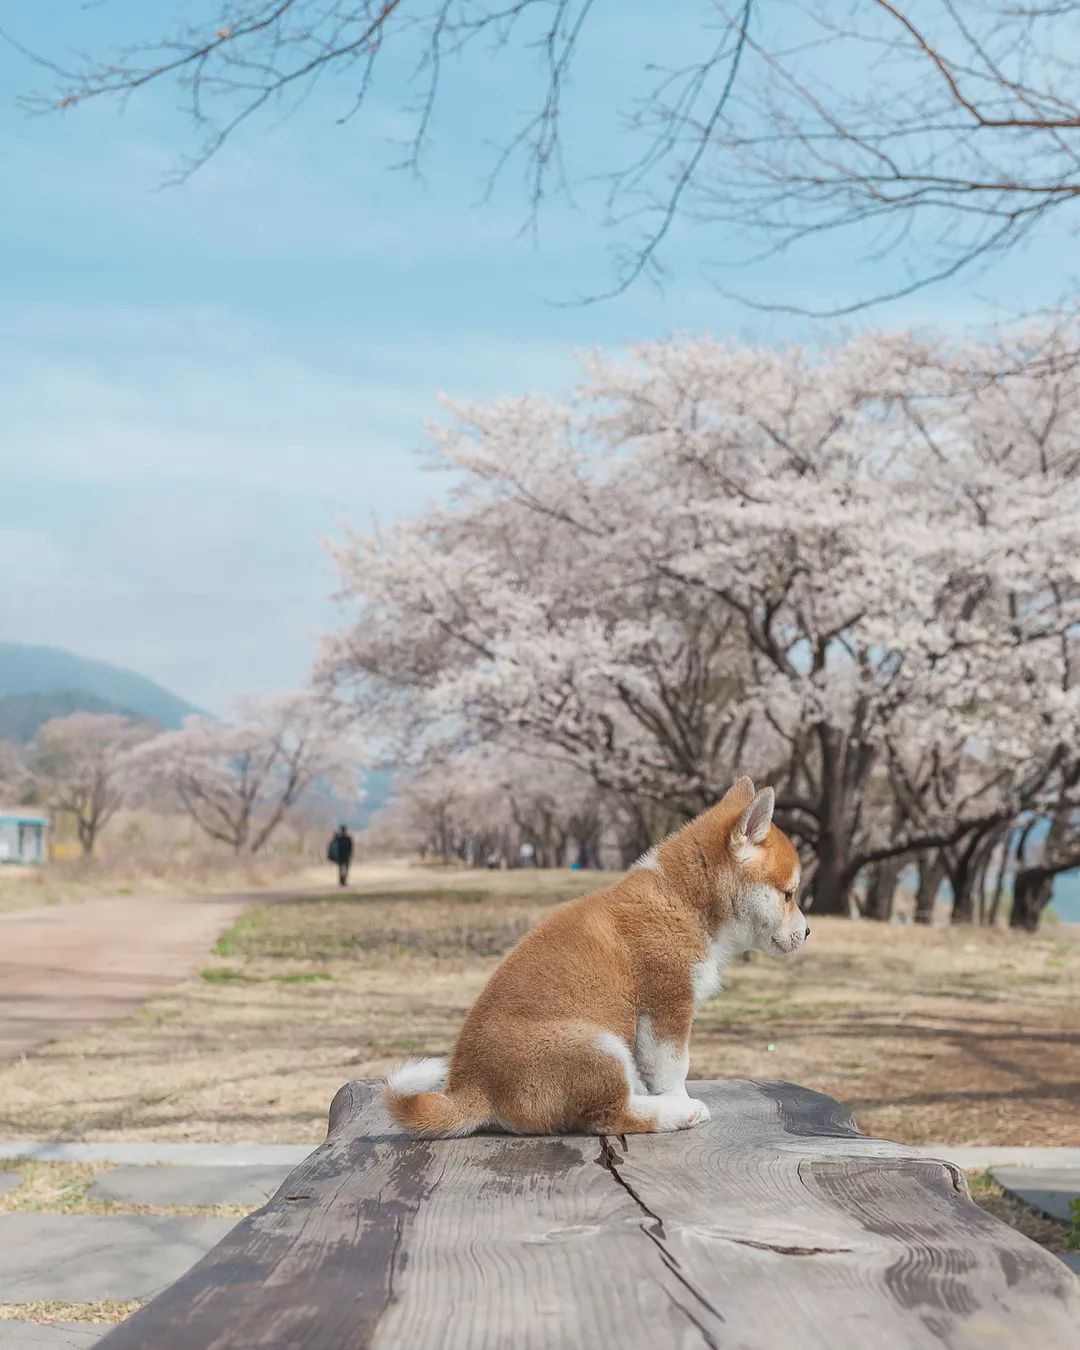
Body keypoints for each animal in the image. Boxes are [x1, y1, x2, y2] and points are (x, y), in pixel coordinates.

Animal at [383, 777, 804, 1134]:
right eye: (789, 894)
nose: (809, 931)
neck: (682, 900)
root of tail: (472, 1089)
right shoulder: (668, 1008)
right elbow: (674, 1069)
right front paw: (679, 1098)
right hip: (597, 1046)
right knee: (610, 1116)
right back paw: (676, 1113)